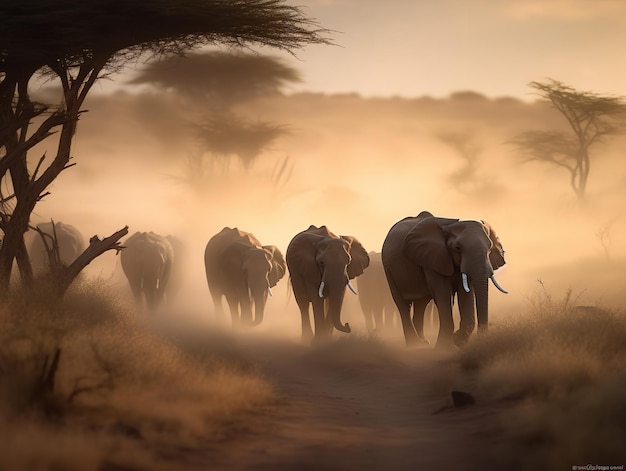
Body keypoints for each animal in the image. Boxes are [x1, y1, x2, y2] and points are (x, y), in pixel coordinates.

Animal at [378, 211, 504, 350]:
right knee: (403, 304)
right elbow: (443, 293)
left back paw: (423, 342)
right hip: (388, 268)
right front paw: (447, 346)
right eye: (457, 248)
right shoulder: (432, 257)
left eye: (490, 247)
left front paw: (458, 341)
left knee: (421, 304)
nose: (481, 339)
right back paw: (413, 344)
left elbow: (465, 293)